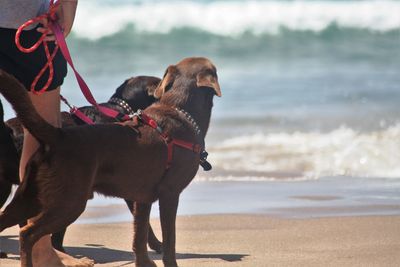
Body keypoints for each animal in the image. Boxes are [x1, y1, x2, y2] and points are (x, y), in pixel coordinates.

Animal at [0, 57, 220, 267]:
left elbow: (139, 237)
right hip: (69, 201)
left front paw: (144, 263)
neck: (179, 110)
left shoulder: (142, 198)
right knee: (27, 233)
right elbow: (169, 240)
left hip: (30, 196)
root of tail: (58, 136)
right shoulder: (169, 194)